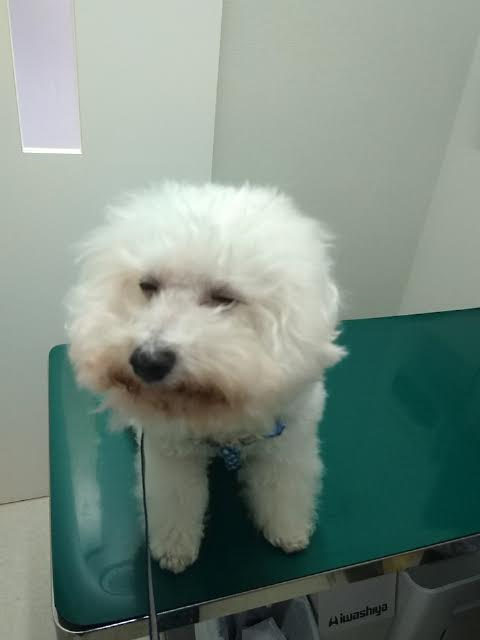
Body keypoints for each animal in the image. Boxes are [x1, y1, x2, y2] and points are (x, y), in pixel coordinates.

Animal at [66, 182, 345, 573]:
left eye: (224, 297)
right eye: (147, 285)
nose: (148, 360)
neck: (219, 413)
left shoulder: (288, 446)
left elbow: (283, 489)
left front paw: (287, 531)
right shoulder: (170, 456)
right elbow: (176, 502)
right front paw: (174, 549)